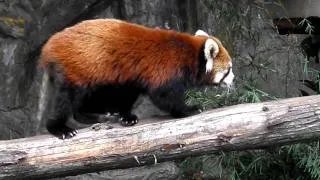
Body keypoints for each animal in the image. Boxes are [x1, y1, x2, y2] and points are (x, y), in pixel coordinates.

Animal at [40, 18, 235, 139]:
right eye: (229, 69)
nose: (233, 79)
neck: (189, 55)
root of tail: (50, 43)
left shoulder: (132, 77)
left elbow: (127, 96)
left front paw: (126, 116)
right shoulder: (165, 70)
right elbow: (165, 96)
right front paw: (189, 109)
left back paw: (96, 115)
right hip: (78, 67)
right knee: (67, 98)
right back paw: (59, 128)